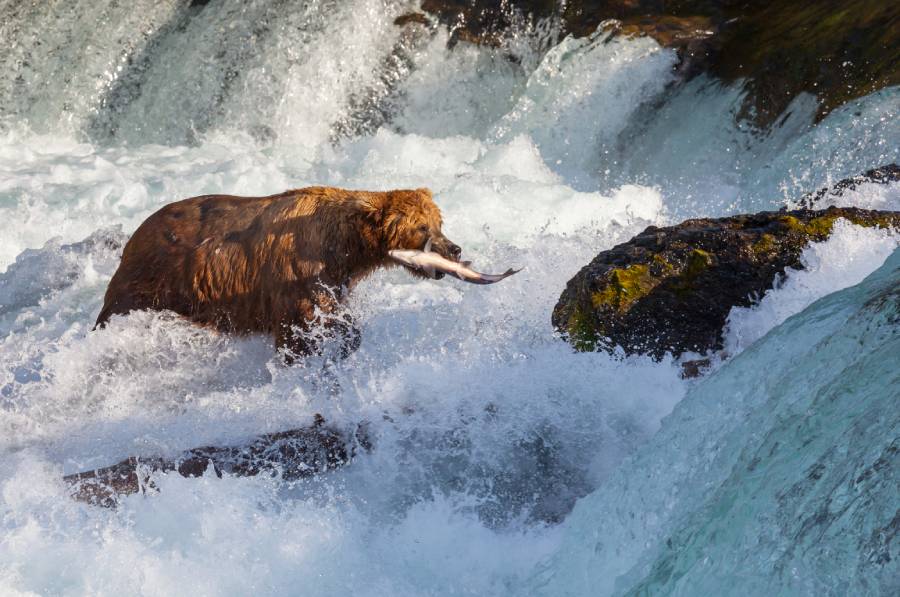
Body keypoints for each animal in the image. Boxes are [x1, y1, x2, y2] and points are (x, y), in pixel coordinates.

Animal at [95, 185, 460, 358]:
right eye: (422, 227)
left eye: (439, 223)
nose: (454, 249)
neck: (347, 246)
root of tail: (136, 233)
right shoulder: (296, 276)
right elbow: (301, 327)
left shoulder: (334, 279)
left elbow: (333, 316)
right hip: (150, 281)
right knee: (113, 313)